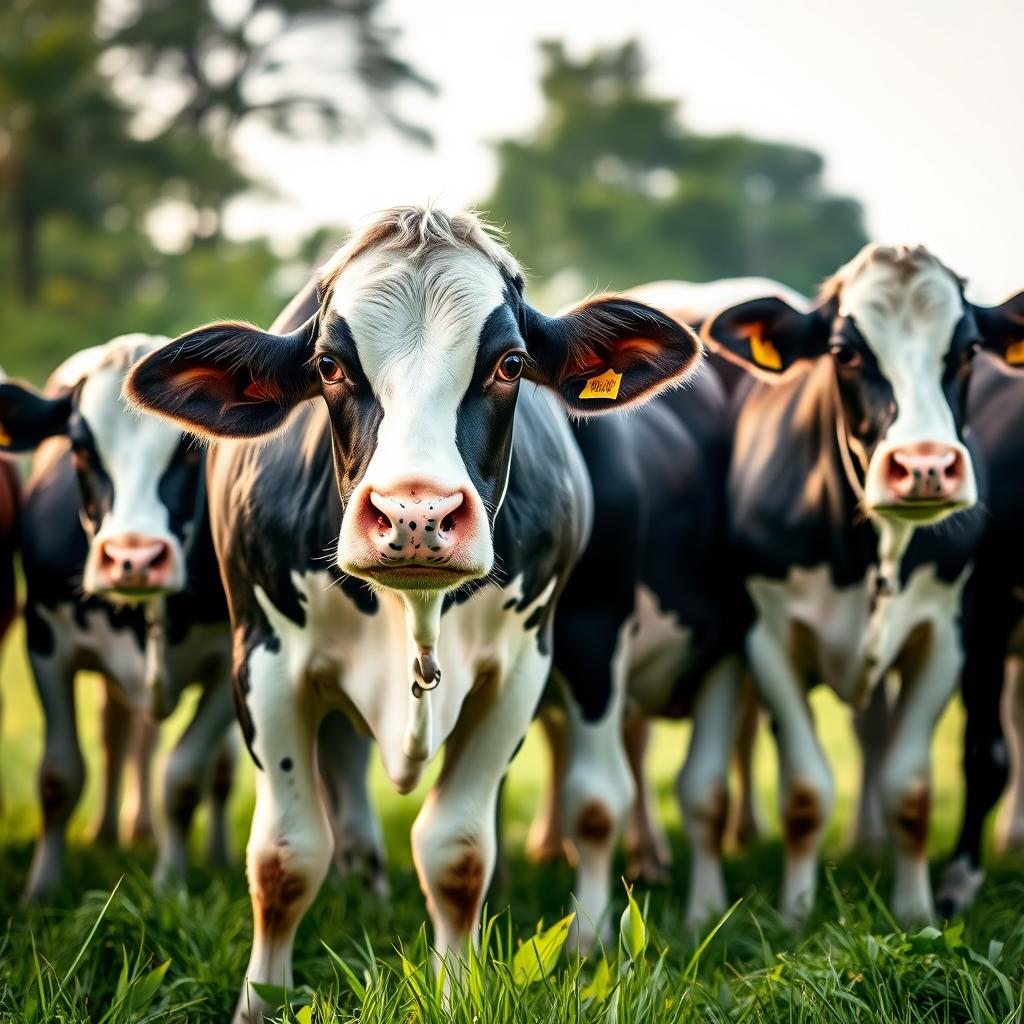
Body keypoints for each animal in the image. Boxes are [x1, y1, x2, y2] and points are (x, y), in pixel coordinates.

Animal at [0, 337, 237, 900]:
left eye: (193, 447)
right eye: (81, 447)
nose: (133, 558)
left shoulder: (230, 662)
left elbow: (184, 778)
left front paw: (170, 883)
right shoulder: (45, 643)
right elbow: (59, 777)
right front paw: (42, 889)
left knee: (217, 768)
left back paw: (207, 852)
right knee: (118, 737)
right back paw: (109, 833)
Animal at [125, 206, 700, 1022]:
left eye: (511, 363)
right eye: (330, 366)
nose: (415, 514)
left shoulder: (521, 669)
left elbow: (456, 851)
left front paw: (456, 990)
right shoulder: (262, 662)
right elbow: (285, 855)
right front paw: (263, 1000)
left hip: (593, 636)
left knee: (595, 800)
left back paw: (589, 941)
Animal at [699, 243, 1024, 923]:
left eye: (968, 350)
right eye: (845, 353)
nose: (925, 466)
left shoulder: (948, 637)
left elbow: (912, 787)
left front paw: (918, 908)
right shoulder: (767, 639)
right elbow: (805, 790)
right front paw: (795, 911)